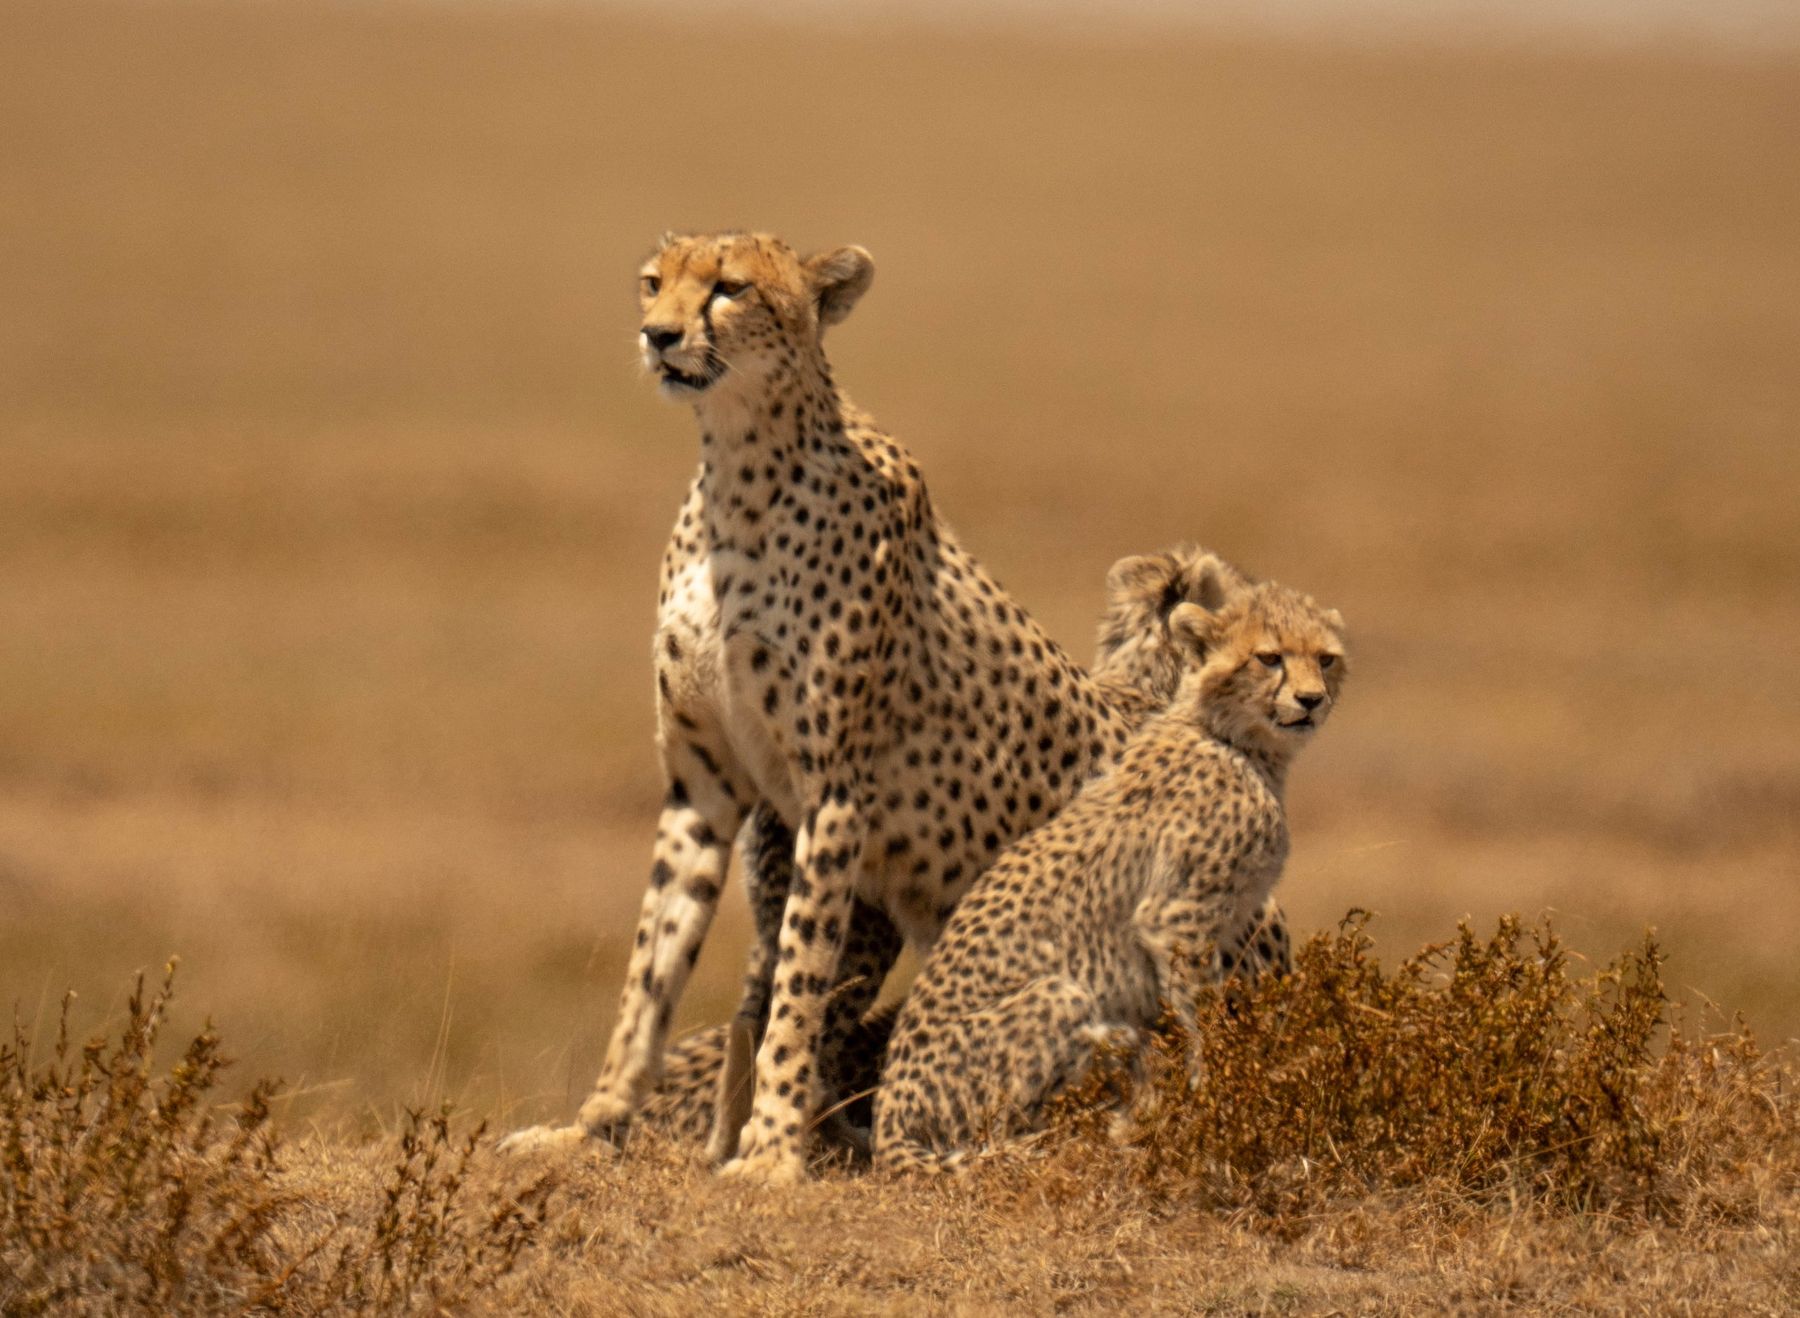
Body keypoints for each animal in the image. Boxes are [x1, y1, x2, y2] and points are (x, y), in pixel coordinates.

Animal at [496, 230, 1295, 1182]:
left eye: (729, 288)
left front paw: (769, 1155)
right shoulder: (705, 789)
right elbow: (652, 974)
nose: (659, 336)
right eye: (654, 283)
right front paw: (592, 1130)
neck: (741, 469)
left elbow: (797, 994)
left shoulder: (835, 795)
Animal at [871, 579, 1347, 1173]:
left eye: (1326, 659)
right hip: (1058, 997)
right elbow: (1204, 1018)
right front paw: (1217, 1095)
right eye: (1269, 658)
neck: (1231, 739)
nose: (1311, 700)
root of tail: (886, 1118)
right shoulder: (1176, 919)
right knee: (1003, 1131)